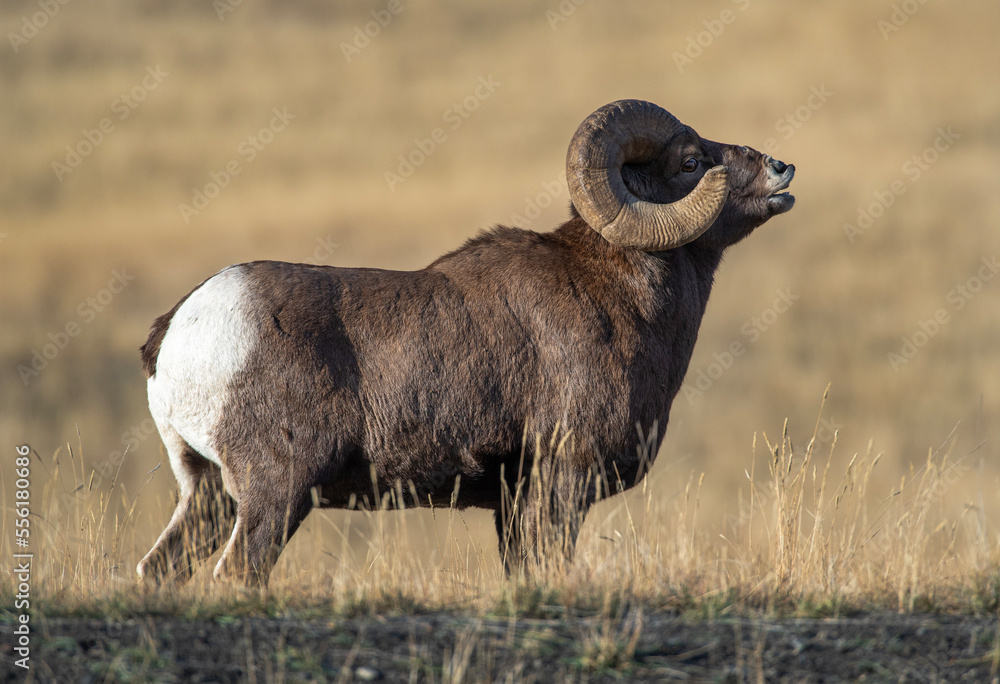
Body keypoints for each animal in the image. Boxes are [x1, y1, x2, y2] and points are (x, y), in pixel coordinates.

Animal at [136, 99, 795, 586]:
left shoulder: (515, 500)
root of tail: (176, 331)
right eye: (690, 162)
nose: (781, 169)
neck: (619, 297)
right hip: (274, 494)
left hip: (207, 494)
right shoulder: (560, 481)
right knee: (239, 572)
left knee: (158, 569)